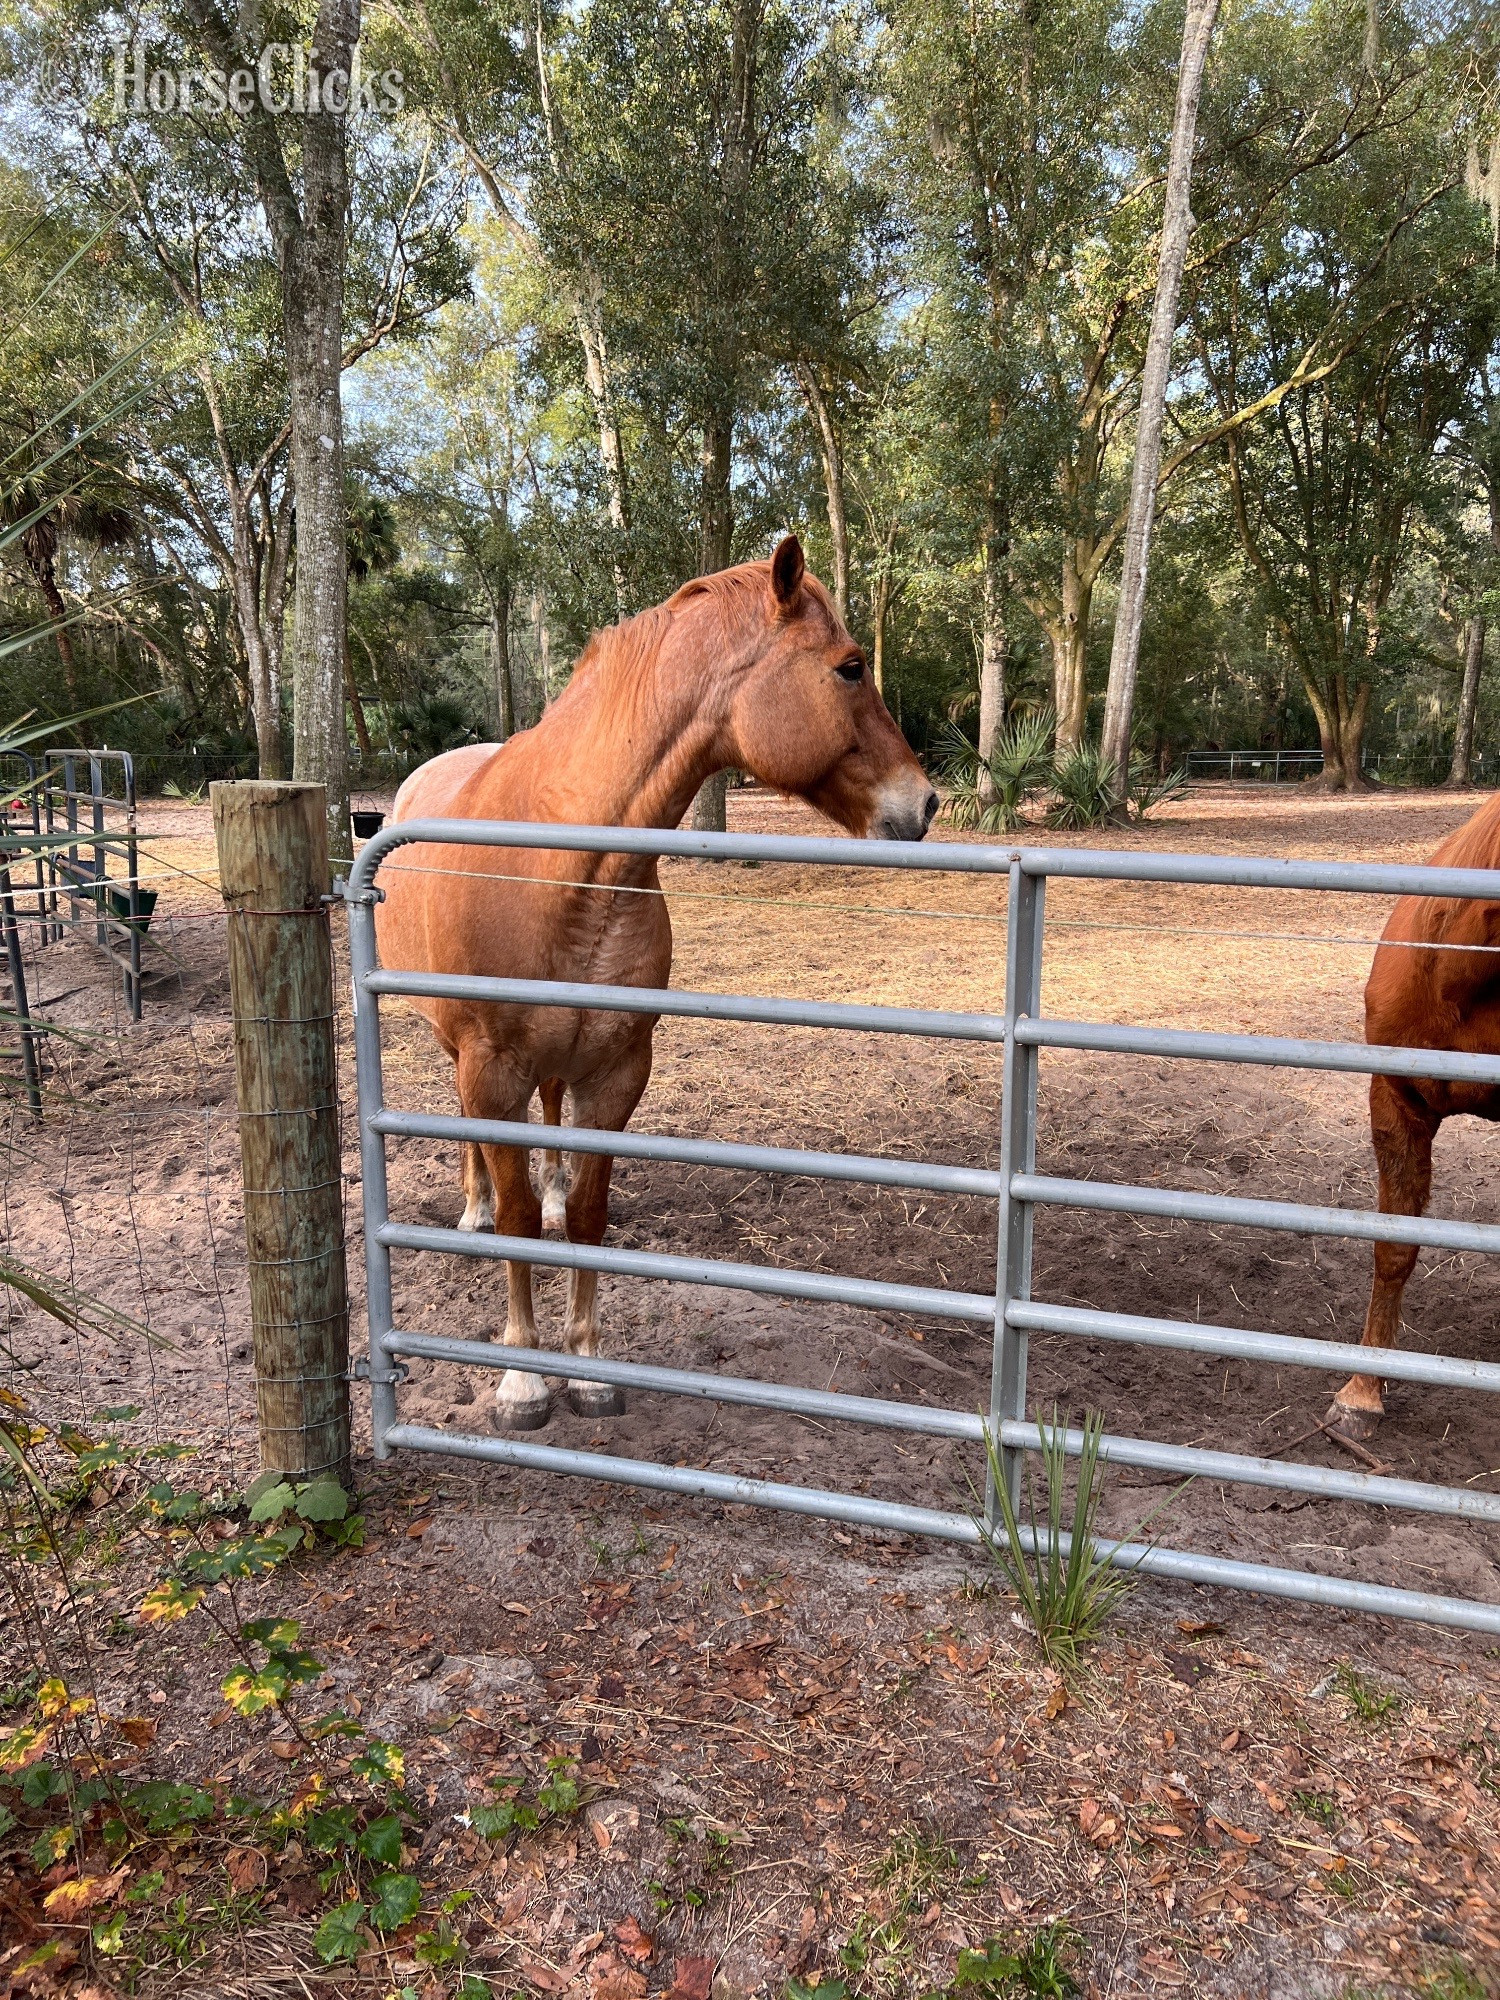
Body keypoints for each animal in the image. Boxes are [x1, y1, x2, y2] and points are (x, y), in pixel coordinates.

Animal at [374, 536, 938, 1430]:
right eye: (850, 668)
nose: (924, 802)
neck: (565, 863)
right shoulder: (491, 1070)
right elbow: (518, 1221)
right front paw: (523, 1378)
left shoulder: (618, 1070)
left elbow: (589, 1215)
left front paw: (588, 1366)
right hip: (457, 1052)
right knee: (474, 1142)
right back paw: (471, 1207)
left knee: (553, 1123)